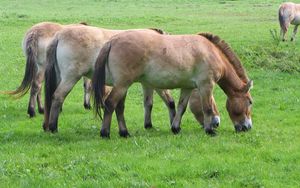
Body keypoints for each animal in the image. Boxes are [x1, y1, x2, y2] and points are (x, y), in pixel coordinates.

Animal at [43, 25, 177, 134]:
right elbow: (170, 102)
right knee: (58, 97)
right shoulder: (156, 84)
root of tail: (60, 35)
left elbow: (148, 103)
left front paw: (148, 125)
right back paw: (53, 127)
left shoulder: (147, 83)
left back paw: (47, 126)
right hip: (70, 78)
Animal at [92, 30, 253, 137]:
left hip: (123, 86)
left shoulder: (187, 88)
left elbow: (181, 107)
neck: (211, 52)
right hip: (122, 85)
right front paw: (210, 130)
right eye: (250, 102)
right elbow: (207, 108)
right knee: (110, 104)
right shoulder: (206, 86)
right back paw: (105, 133)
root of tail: (113, 41)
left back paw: (124, 132)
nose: (248, 127)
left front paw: (176, 128)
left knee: (119, 107)